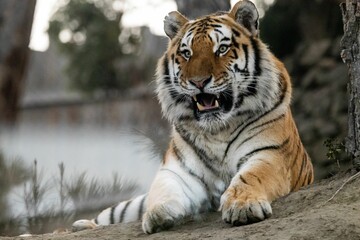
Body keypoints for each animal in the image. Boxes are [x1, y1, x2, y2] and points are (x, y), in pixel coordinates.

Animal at [72, 0, 312, 234]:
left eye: (222, 49)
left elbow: (250, 177)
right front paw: (158, 212)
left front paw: (242, 205)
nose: (198, 82)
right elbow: (163, 190)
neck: (218, 130)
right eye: (186, 53)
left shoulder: (269, 154)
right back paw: (82, 226)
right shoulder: (177, 170)